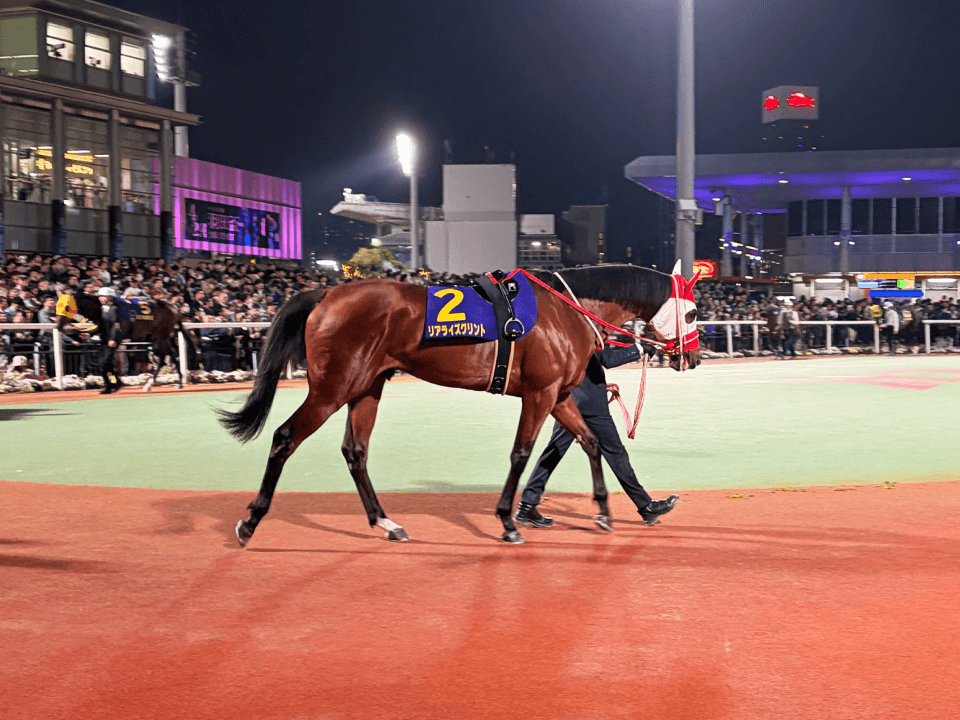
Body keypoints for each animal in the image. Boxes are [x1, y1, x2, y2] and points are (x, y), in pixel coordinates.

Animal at [55, 292, 195, 390]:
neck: (102, 310)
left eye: (66, 307)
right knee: (168, 356)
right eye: (57, 306)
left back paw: (163, 383)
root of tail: (173, 307)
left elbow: (105, 363)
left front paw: (113, 384)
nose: (58, 326)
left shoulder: (115, 339)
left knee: (166, 357)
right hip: (156, 337)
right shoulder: (105, 341)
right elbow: (106, 363)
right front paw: (114, 383)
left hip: (161, 336)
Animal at [217, 263, 702, 546]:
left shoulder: (559, 395)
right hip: (331, 389)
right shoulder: (539, 393)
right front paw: (507, 521)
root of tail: (325, 294)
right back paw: (250, 522)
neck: (566, 308)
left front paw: (604, 512)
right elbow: (522, 453)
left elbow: (591, 441)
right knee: (285, 437)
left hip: (366, 388)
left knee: (355, 451)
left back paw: (386, 523)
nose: (693, 358)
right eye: (694, 312)